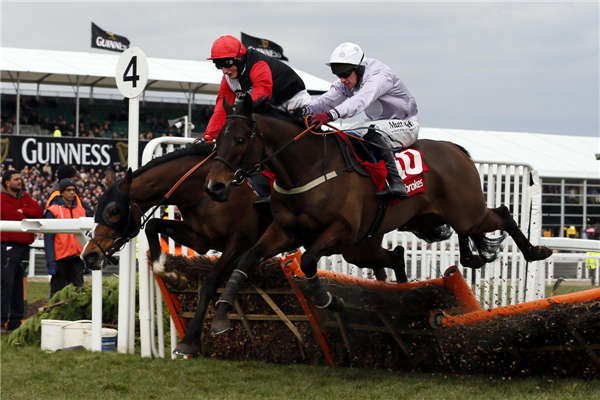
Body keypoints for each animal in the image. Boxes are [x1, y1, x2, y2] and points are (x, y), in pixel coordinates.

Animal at [79, 142, 272, 354]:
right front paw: (174, 277)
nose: (89, 255)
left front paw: (189, 338)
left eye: (114, 211)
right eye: (95, 208)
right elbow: (152, 225)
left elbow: (211, 282)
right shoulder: (201, 239)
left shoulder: (239, 241)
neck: (204, 191)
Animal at [204, 97, 552, 334]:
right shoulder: (285, 232)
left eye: (239, 139)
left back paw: (536, 251)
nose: (214, 187)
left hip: (466, 214)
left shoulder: (341, 230)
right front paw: (221, 315)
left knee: (502, 213)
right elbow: (247, 259)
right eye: (217, 139)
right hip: (380, 239)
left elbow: (309, 261)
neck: (308, 167)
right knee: (397, 255)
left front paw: (329, 300)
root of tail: (456, 150)